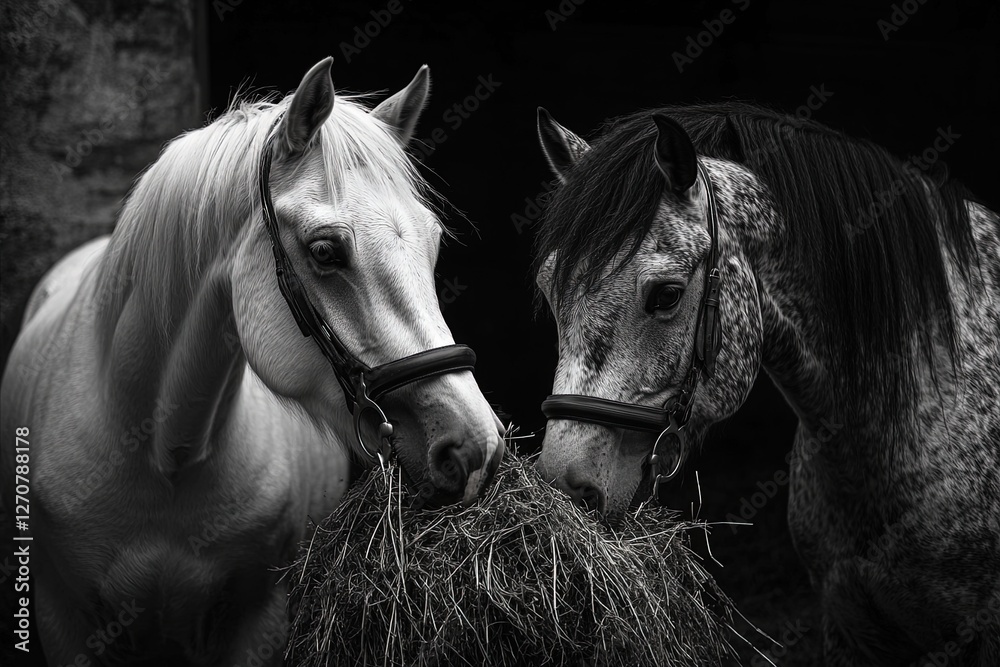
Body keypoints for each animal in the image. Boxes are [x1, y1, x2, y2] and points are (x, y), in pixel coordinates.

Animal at [0, 57, 506, 666]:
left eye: (431, 244)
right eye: (325, 251)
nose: (475, 446)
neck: (165, 452)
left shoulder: (260, 619)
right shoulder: (63, 620)